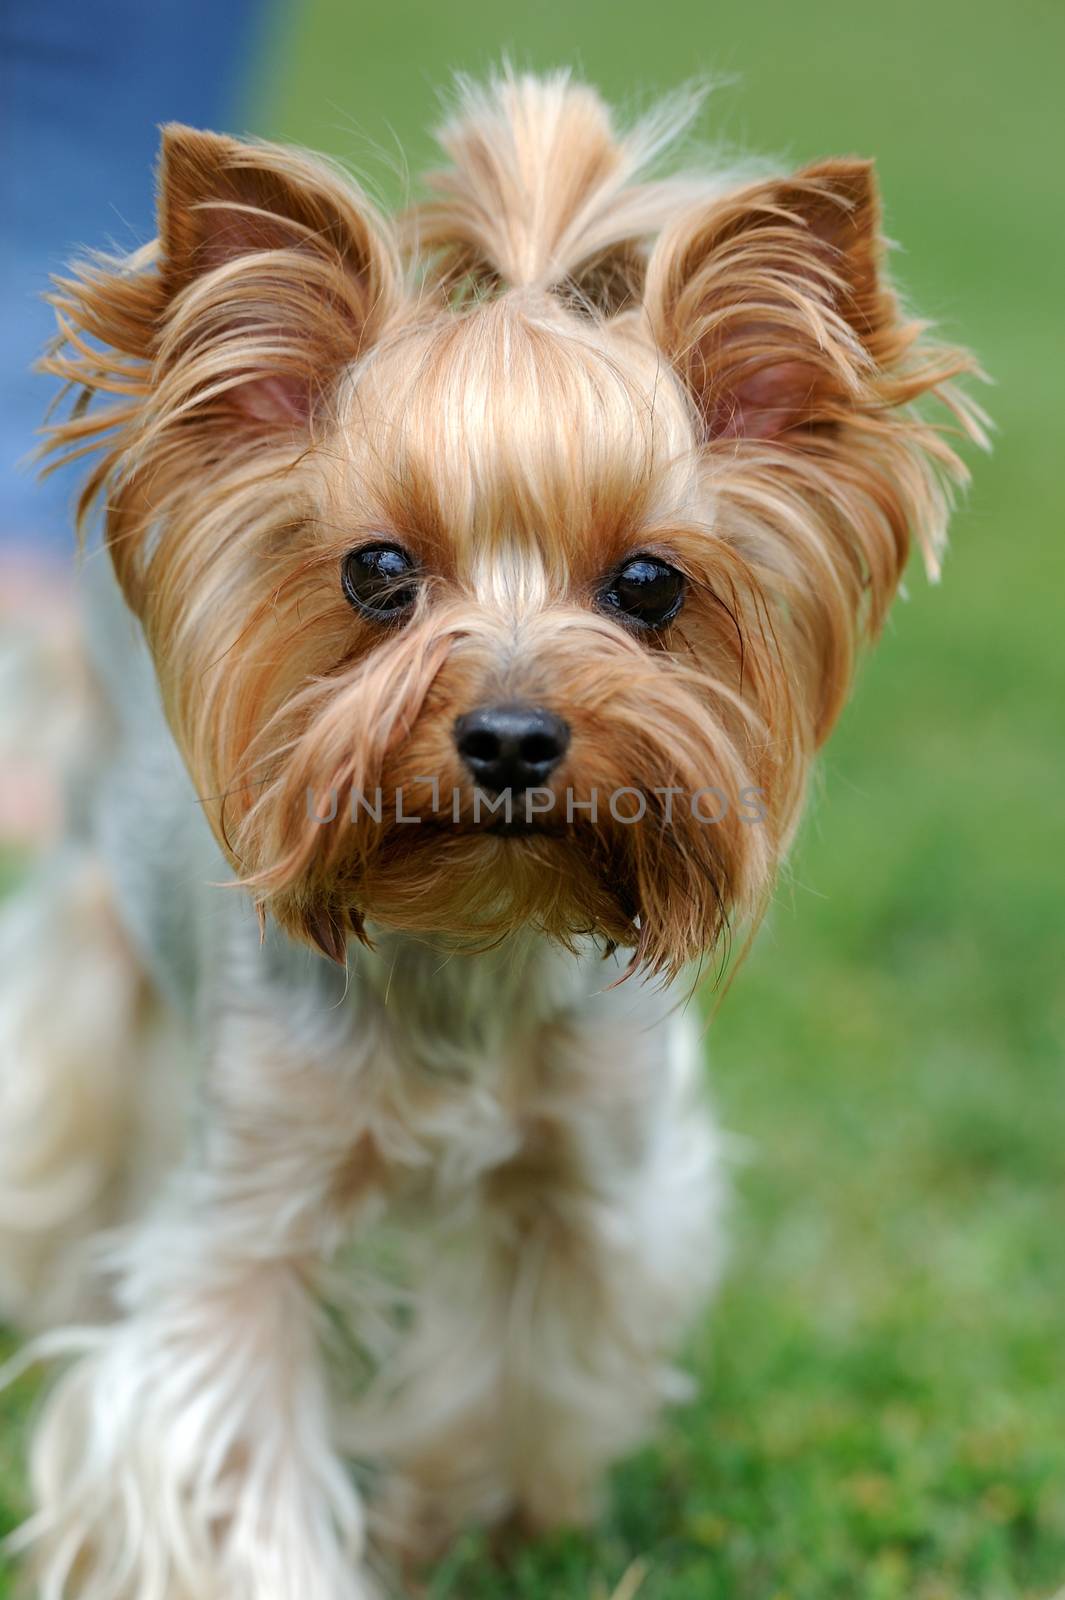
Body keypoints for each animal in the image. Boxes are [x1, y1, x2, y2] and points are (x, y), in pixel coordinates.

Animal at [0, 68, 978, 1593]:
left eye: (648, 584)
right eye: (377, 572)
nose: (511, 738)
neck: (471, 925)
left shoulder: (590, 1178)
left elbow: (519, 1375)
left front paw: (470, 1524)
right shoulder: (253, 1200)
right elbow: (224, 1447)